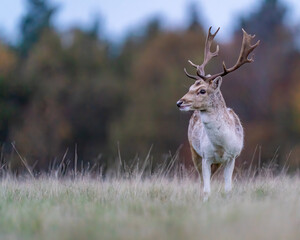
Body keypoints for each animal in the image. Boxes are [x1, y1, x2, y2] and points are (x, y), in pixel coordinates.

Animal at [177, 27, 258, 198]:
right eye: (190, 88)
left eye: (202, 90)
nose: (179, 102)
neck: (221, 145)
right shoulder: (206, 156)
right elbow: (206, 188)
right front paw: (205, 200)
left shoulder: (232, 157)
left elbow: (228, 189)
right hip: (194, 151)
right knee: (202, 181)